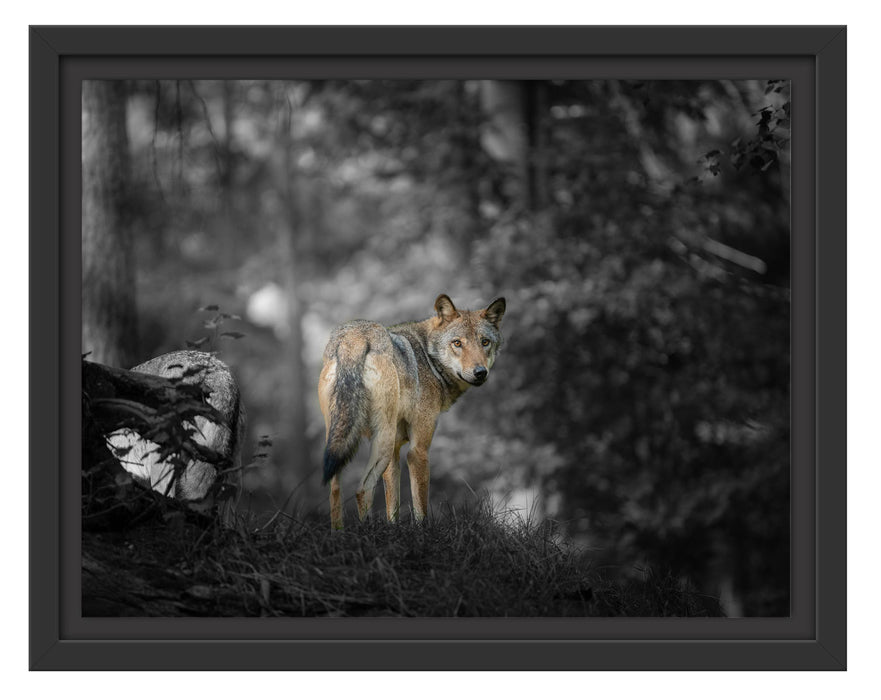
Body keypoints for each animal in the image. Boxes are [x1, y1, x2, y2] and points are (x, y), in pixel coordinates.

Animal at [318, 293, 506, 529]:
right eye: (457, 343)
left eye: (485, 342)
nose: (480, 372)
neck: (428, 358)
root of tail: (355, 338)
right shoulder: (417, 450)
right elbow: (420, 506)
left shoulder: (395, 453)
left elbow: (393, 506)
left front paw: (393, 530)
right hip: (382, 442)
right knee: (362, 490)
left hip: (340, 442)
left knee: (335, 491)